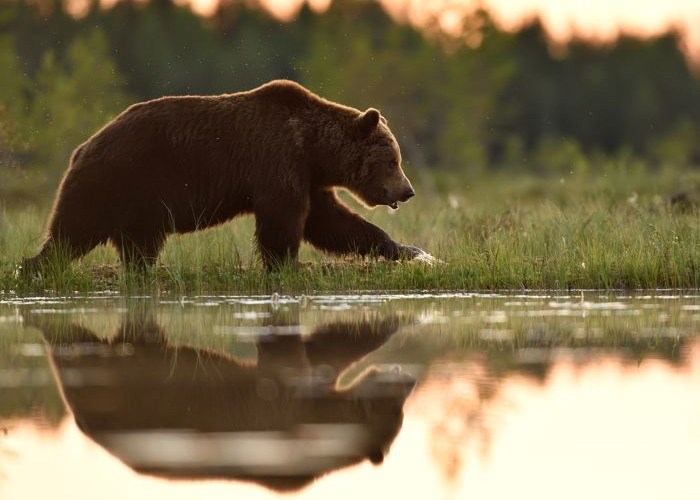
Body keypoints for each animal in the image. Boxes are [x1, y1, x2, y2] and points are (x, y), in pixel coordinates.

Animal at [23, 80, 426, 272]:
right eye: (392, 160)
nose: (407, 191)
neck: (312, 148)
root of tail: (81, 147)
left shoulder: (308, 177)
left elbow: (331, 221)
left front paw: (408, 250)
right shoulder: (277, 161)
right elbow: (284, 220)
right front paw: (285, 263)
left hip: (139, 205)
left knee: (138, 245)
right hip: (115, 180)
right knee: (72, 232)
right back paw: (36, 268)